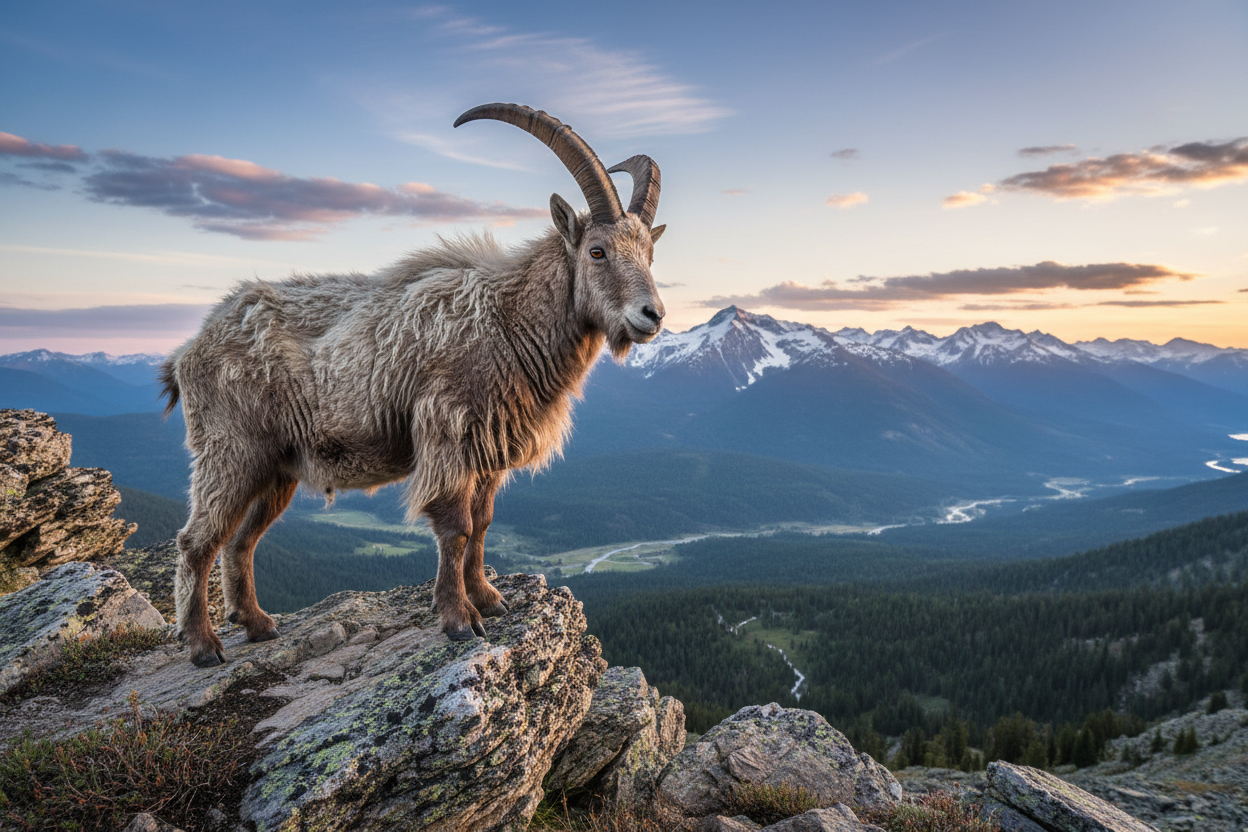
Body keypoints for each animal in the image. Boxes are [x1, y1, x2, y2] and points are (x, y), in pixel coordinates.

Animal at [161, 104, 667, 667]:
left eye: (649, 254)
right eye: (597, 251)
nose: (652, 315)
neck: (508, 321)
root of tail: (189, 350)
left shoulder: (488, 449)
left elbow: (483, 522)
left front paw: (487, 598)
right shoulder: (447, 433)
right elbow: (456, 527)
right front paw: (458, 619)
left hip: (276, 467)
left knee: (240, 540)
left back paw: (256, 624)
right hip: (231, 450)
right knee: (196, 540)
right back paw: (203, 645)